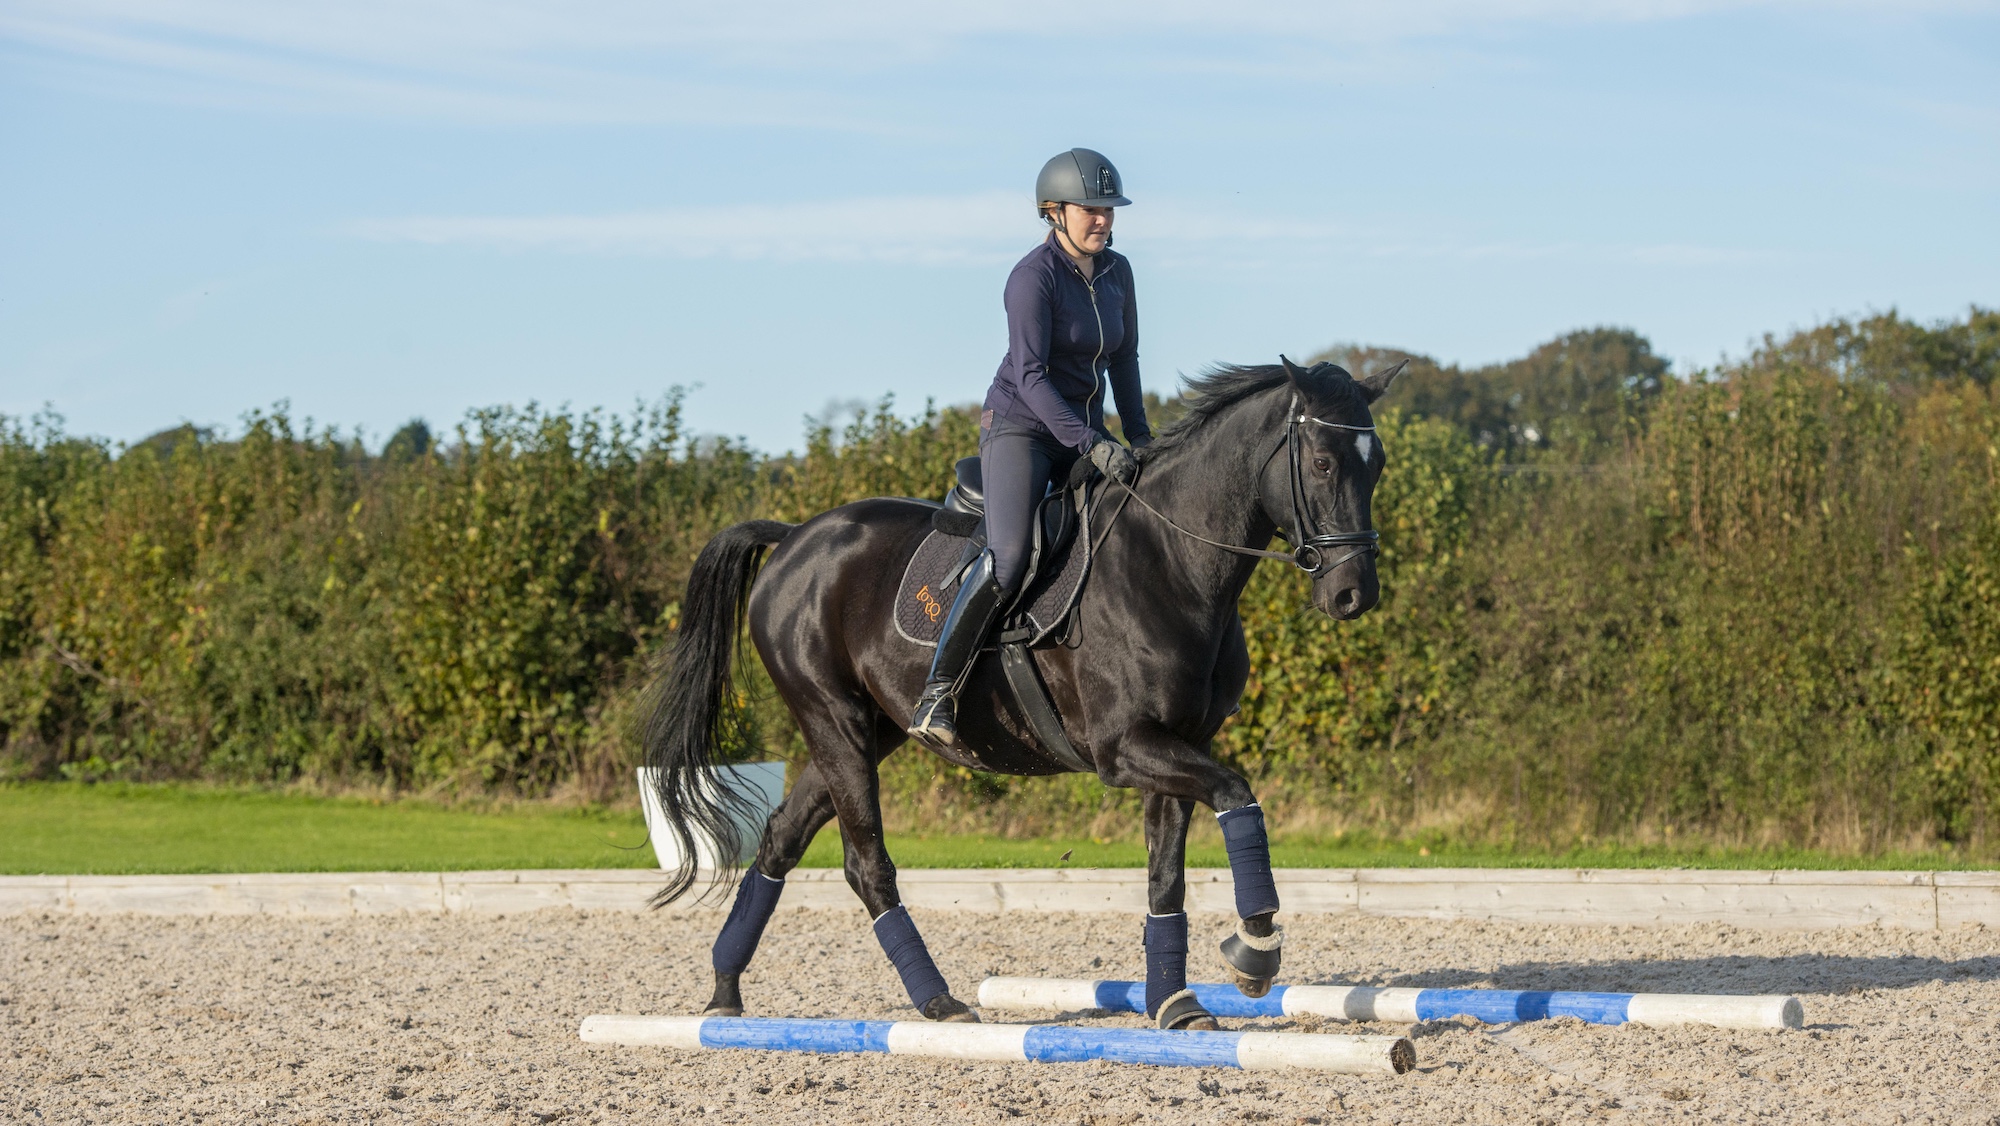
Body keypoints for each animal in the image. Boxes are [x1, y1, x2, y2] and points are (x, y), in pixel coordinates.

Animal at [643, 355, 1403, 1031]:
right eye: (1324, 463)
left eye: (1378, 466)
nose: (1354, 595)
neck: (1173, 561)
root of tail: (795, 538)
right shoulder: (1124, 749)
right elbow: (1237, 792)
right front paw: (1254, 950)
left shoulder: (1176, 744)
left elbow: (1167, 874)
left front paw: (1175, 1004)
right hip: (834, 722)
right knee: (867, 867)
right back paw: (939, 1002)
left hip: (868, 730)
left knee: (781, 840)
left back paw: (725, 993)